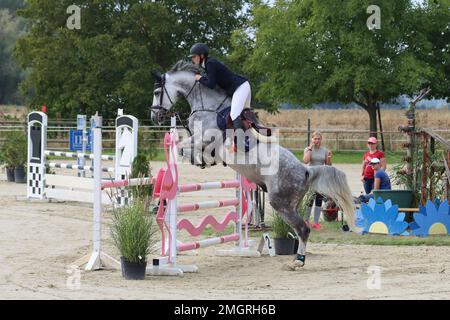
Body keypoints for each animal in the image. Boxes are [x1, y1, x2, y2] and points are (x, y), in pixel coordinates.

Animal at [151, 60, 358, 270]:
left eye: (157, 91)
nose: (154, 116)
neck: (207, 105)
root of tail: (305, 170)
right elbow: (184, 148)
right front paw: (201, 160)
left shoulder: (204, 138)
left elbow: (182, 148)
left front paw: (200, 160)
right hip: (291, 203)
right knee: (301, 228)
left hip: (280, 202)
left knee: (303, 229)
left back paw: (297, 261)